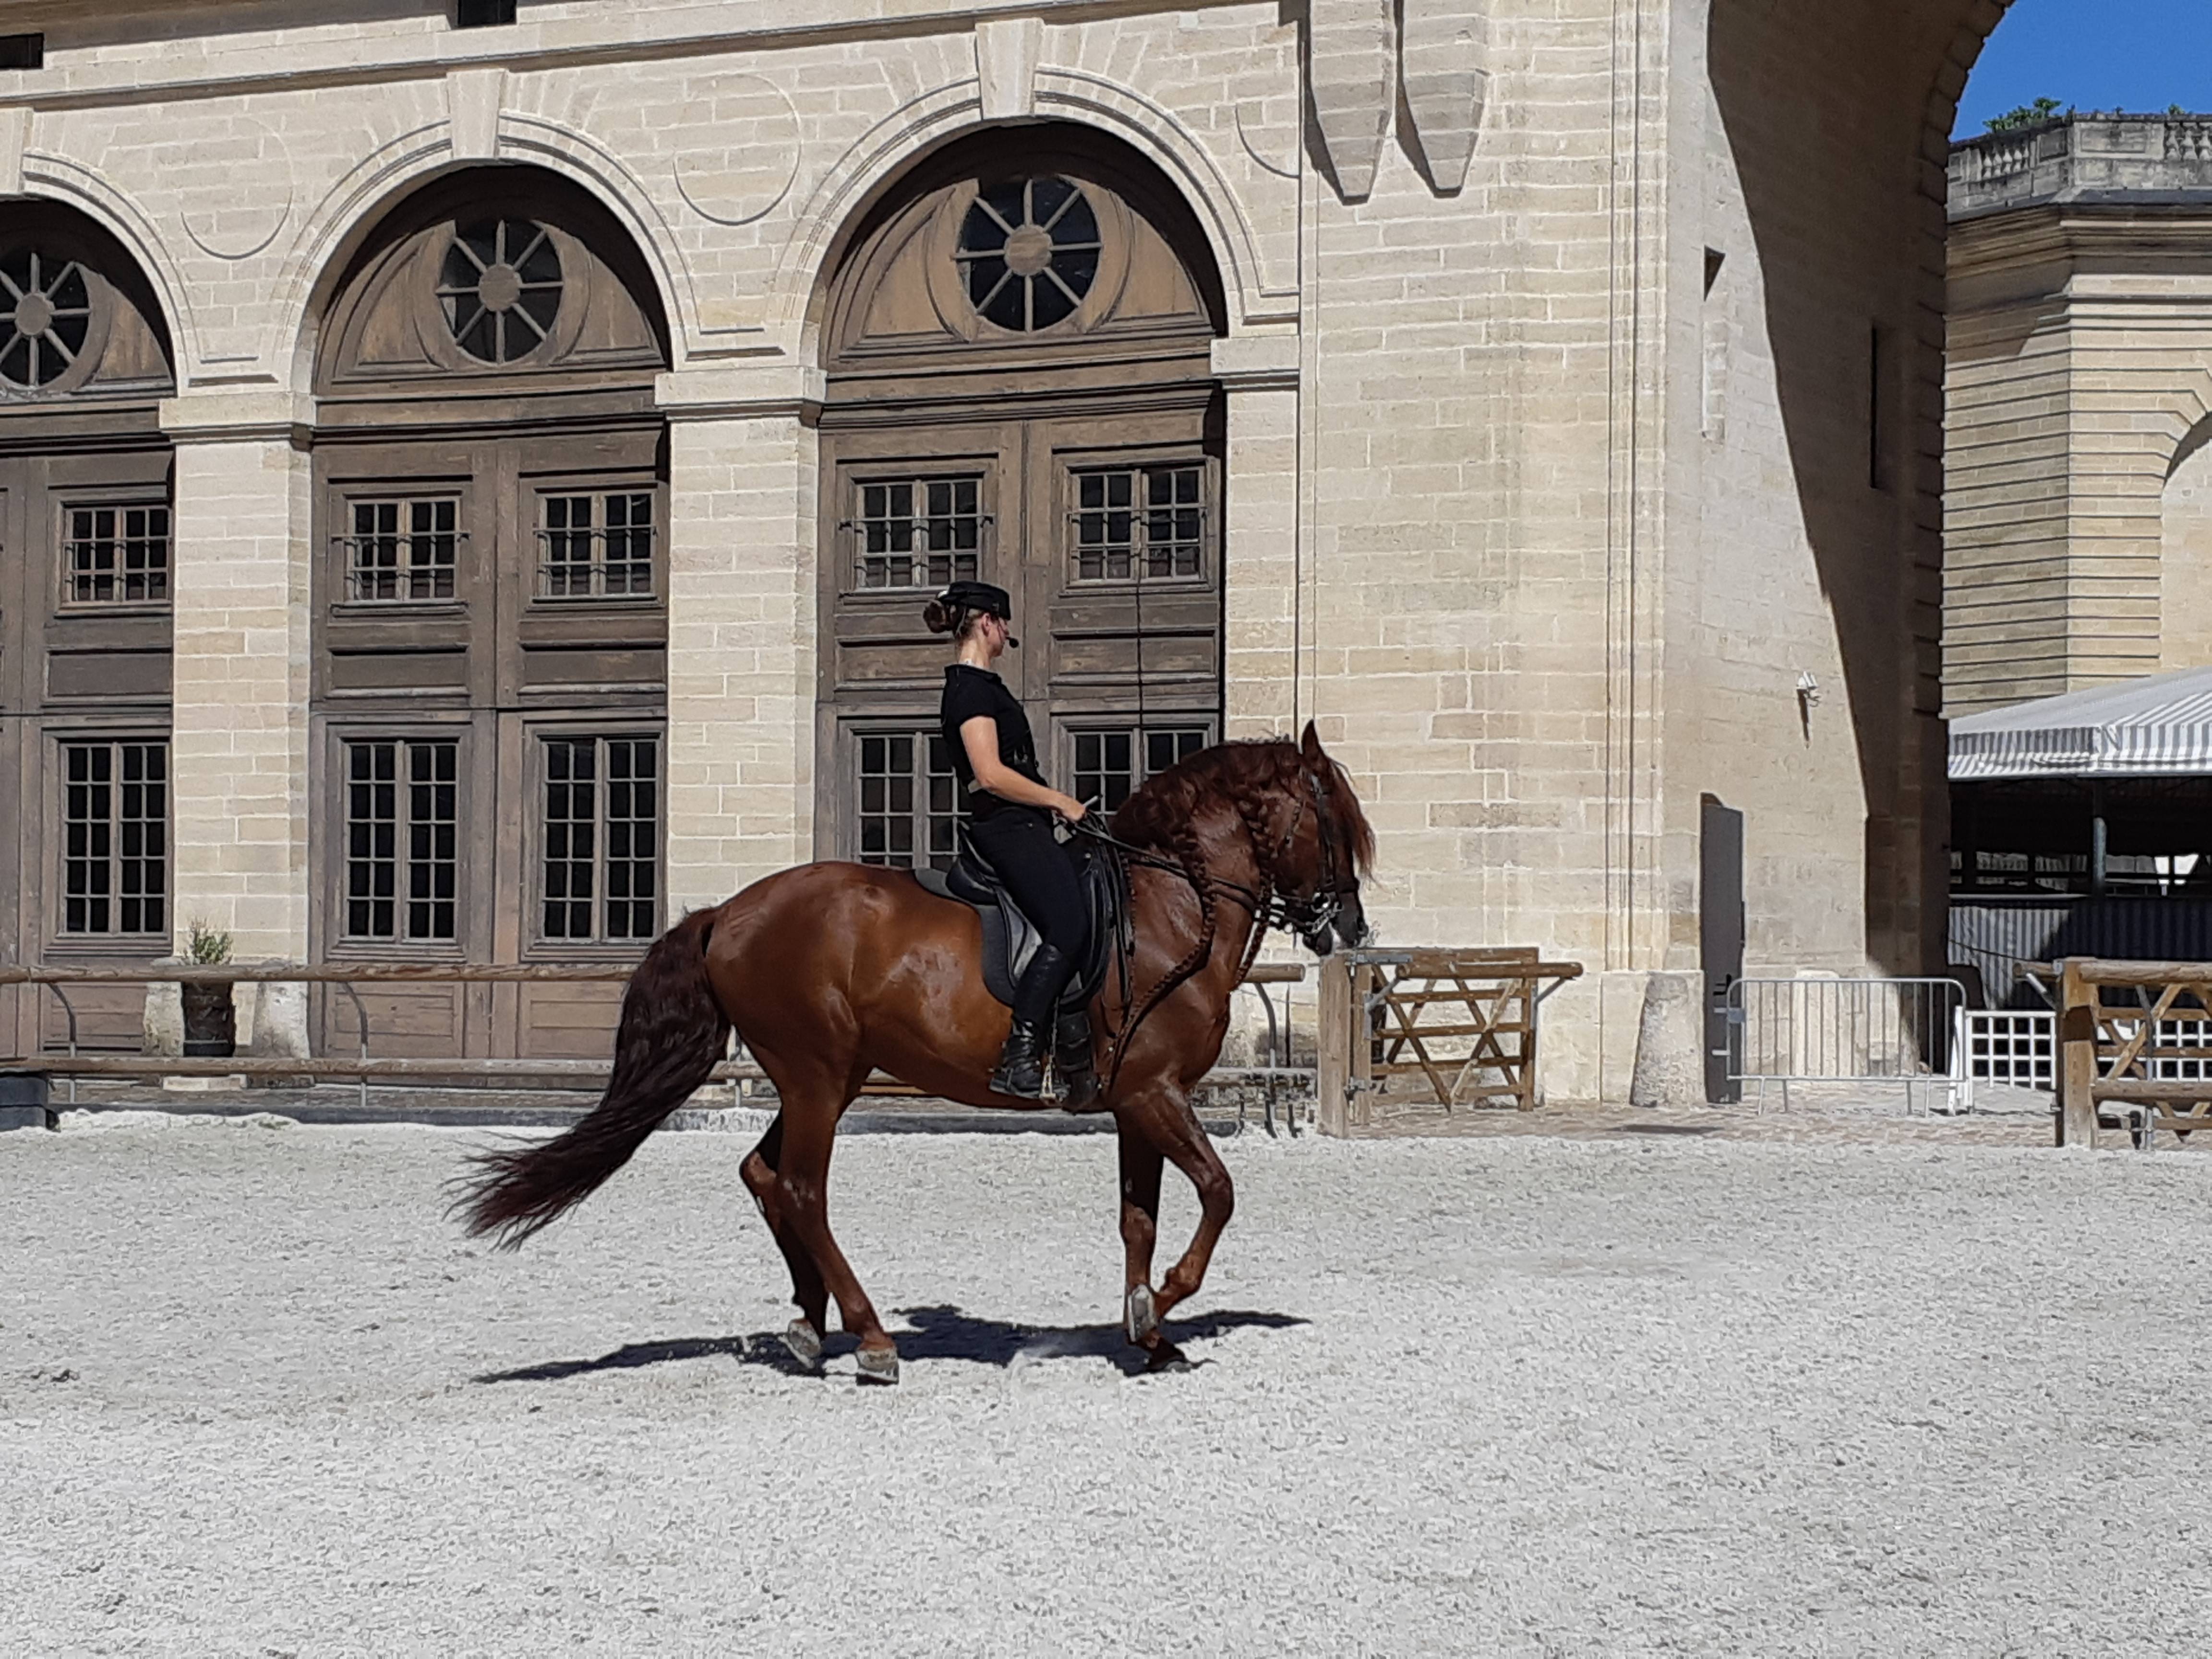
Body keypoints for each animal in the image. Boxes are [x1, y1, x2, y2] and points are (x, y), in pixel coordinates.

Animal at [455, 722, 1374, 1381]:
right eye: (1337, 822)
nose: (1353, 930)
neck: (1170, 904)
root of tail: (728, 912)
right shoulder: (1154, 1092)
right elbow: (1219, 1193)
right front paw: (1164, 1307)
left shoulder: (1135, 1102)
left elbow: (1137, 1219)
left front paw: (1147, 1329)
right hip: (817, 1076)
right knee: (801, 1188)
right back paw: (869, 1339)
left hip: (828, 1077)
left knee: (765, 1176)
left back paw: (808, 1324)